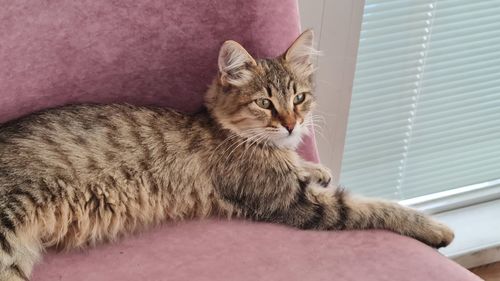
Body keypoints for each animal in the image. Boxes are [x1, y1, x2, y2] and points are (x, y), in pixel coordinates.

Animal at [0, 29, 454, 278]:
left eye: (300, 98)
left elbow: (308, 168)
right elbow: (373, 207)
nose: (292, 124)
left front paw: (316, 166)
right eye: (265, 104)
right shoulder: (293, 203)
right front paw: (434, 228)